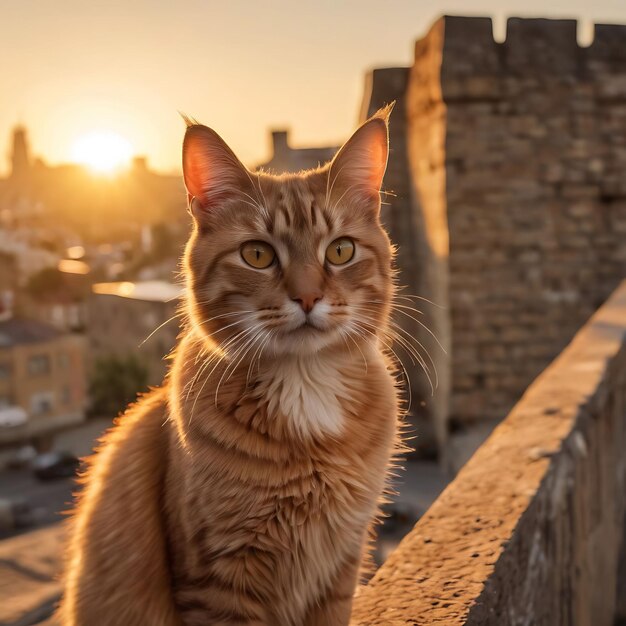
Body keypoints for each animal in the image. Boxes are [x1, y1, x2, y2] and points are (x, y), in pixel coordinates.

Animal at [58, 105, 400, 620]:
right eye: (257, 255)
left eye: (341, 250)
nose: (307, 297)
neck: (305, 387)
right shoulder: (217, 578)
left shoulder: (340, 564)